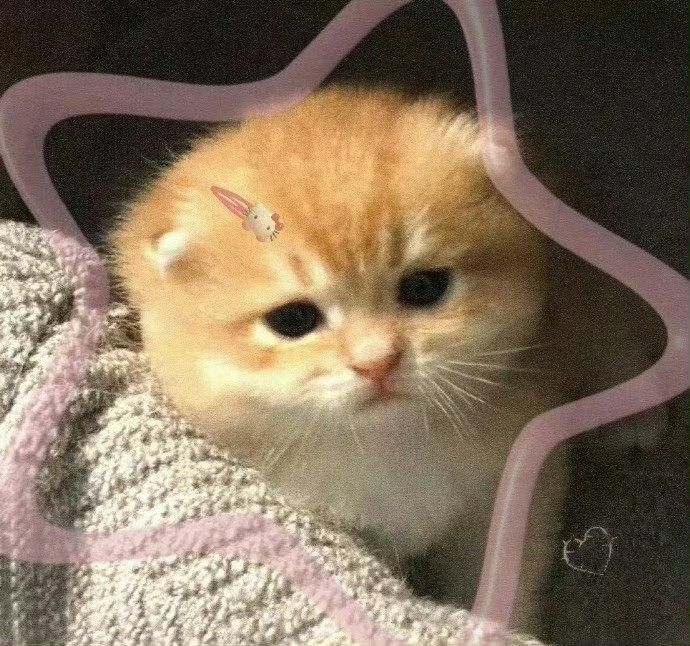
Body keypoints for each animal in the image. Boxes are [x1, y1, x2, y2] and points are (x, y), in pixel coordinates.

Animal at [110, 87, 568, 636]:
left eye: (424, 287)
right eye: (293, 320)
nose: (378, 362)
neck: (387, 445)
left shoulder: (508, 495)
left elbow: (506, 581)